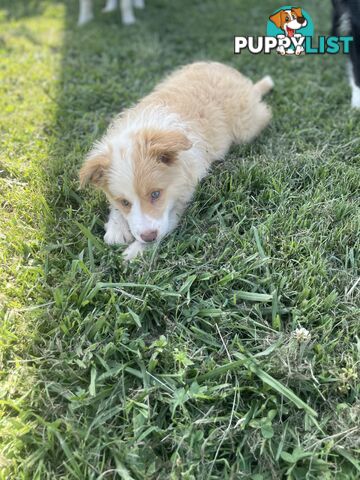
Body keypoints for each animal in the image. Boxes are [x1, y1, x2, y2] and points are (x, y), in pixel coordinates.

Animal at [79, 63, 272, 260]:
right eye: (124, 202)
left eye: (155, 194)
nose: (148, 237)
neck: (144, 129)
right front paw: (116, 228)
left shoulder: (184, 192)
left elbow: (167, 222)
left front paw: (136, 251)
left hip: (245, 128)